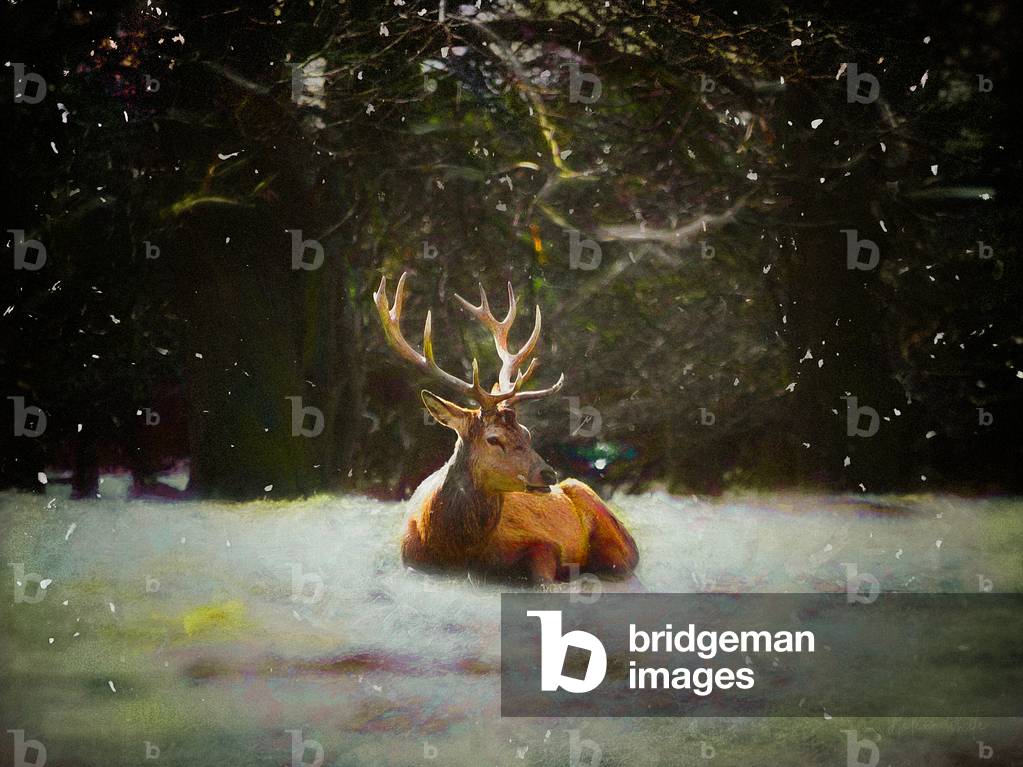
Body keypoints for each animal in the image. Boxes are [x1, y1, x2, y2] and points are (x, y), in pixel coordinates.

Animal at [373, 272, 639, 584]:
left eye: (527, 432)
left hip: (603, 519)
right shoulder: (410, 560)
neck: (455, 550)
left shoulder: (542, 542)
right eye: (493, 439)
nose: (548, 473)